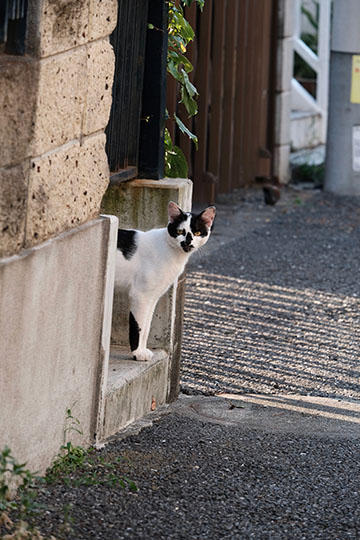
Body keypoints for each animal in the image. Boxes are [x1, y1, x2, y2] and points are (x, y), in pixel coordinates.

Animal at [116, 200, 215, 360]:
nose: (187, 243)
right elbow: (138, 326)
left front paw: (143, 350)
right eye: (180, 232)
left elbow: (146, 327)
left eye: (197, 233)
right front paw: (137, 353)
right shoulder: (140, 296)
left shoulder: (152, 298)